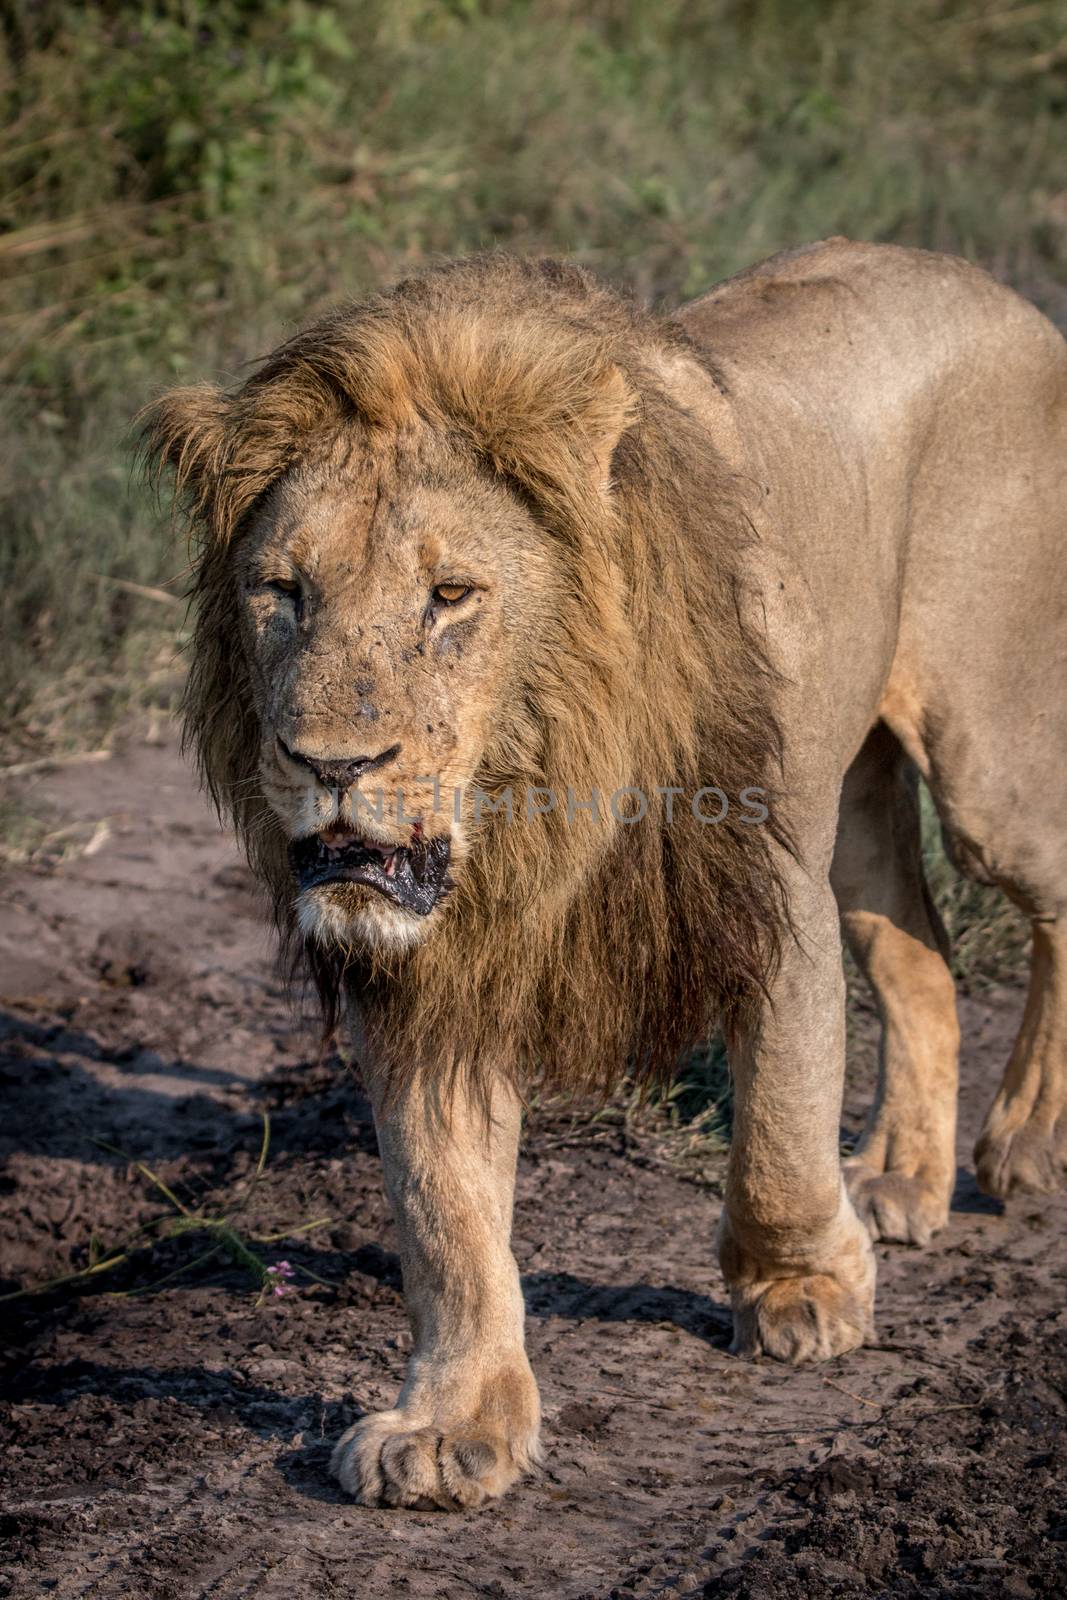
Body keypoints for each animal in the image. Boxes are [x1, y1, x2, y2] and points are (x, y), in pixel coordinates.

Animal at [143, 240, 1067, 1510]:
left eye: (449, 596)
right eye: (282, 591)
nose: (329, 762)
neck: (534, 798)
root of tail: (991, 285)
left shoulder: (761, 881)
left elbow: (778, 1111)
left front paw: (800, 1286)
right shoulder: (437, 972)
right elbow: (444, 1208)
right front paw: (451, 1420)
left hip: (985, 760)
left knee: (1047, 893)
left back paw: (1021, 1145)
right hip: (858, 791)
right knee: (917, 955)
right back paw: (901, 1177)